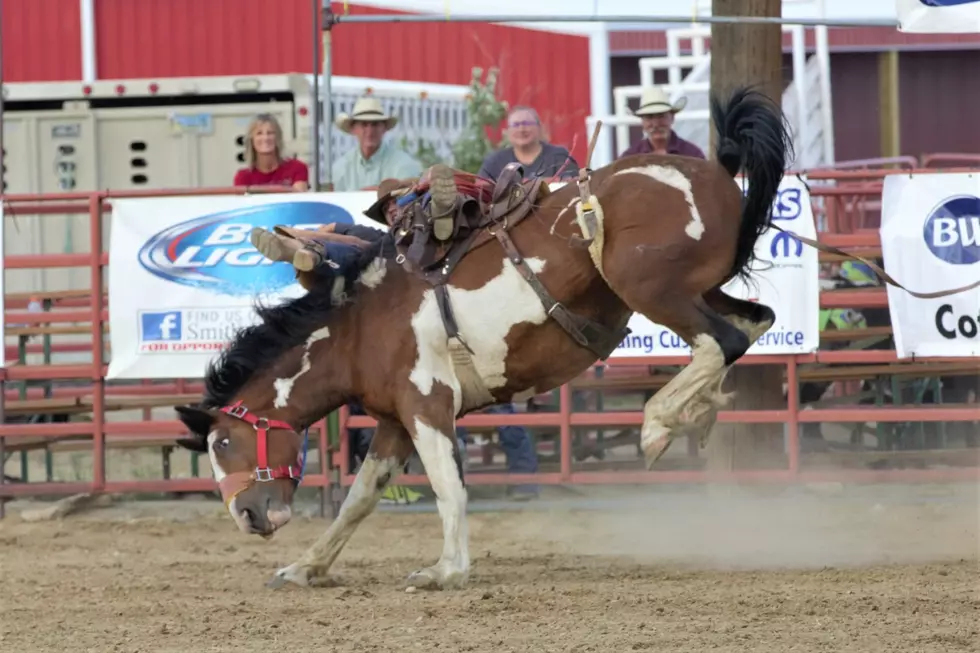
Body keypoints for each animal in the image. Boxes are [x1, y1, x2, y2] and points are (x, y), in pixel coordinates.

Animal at [172, 84, 792, 588]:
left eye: (222, 443)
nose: (247, 516)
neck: (357, 326)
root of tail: (715, 171)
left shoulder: (427, 406)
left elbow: (448, 486)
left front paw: (446, 570)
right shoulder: (394, 421)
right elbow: (359, 499)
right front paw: (305, 567)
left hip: (649, 286)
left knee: (720, 341)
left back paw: (659, 425)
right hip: (698, 290)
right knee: (753, 322)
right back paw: (701, 411)